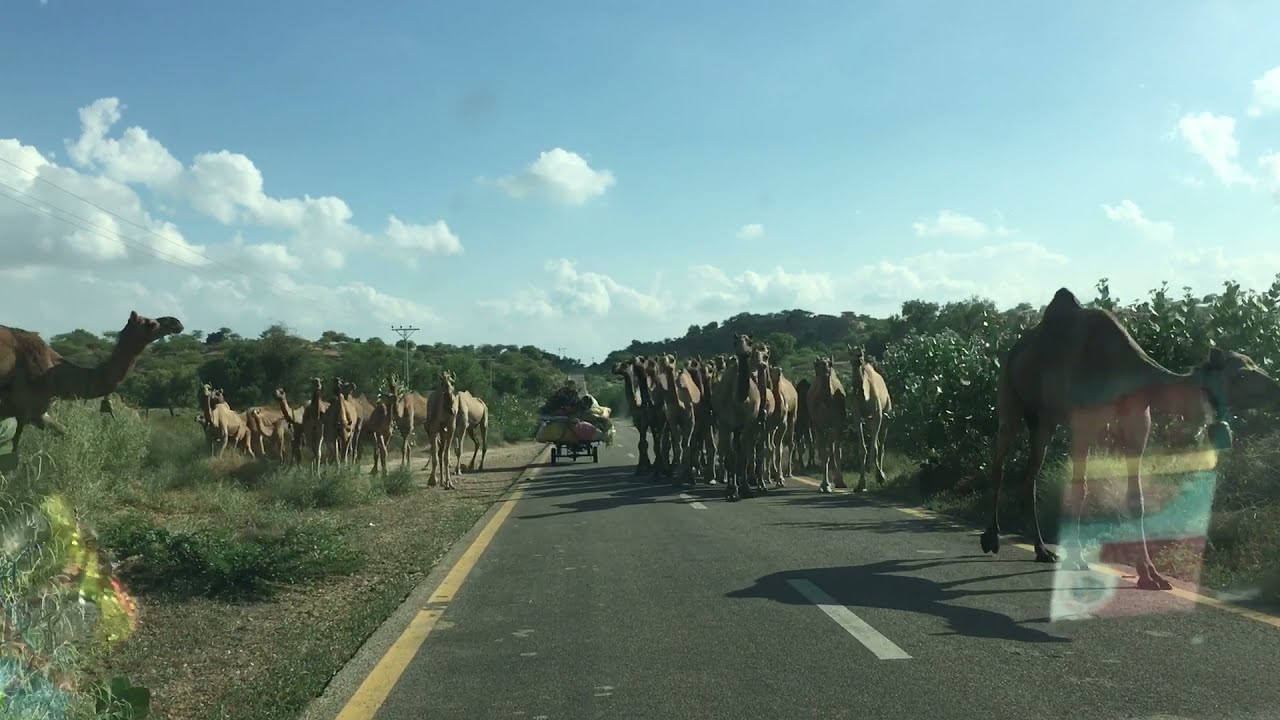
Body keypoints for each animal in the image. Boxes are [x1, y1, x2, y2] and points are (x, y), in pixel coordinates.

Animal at [807, 356, 847, 493]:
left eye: (830, 363)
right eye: (818, 364)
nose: (825, 367)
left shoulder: (837, 423)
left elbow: (834, 451)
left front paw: (837, 482)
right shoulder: (818, 425)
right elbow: (823, 453)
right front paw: (825, 485)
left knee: (835, 448)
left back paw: (838, 480)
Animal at [847, 345, 892, 492]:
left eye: (861, 354)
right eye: (850, 355)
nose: (857, 359)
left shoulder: (878, 414)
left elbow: (875, 448)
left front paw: (880, 477)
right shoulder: (857, 417)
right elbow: (862, 449)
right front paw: (861, 484)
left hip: (886, 416)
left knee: (881, 446)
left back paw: (881, 475)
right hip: (869, 420)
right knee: (876, 442)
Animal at [981, 287, 1280, 590]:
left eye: (1254, 363)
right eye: (1241, 374)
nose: (1275, 387)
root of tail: (1014, 348)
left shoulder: (1138, 423)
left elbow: (1137, 497)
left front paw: (1151, 574)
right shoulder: (1083, 424)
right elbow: (1080, 488)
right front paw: (1077, 558)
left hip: (1044, 421)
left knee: (1030, 472)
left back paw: (1042, 549)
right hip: (1009, 397)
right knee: (999, 462)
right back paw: (991, 538)